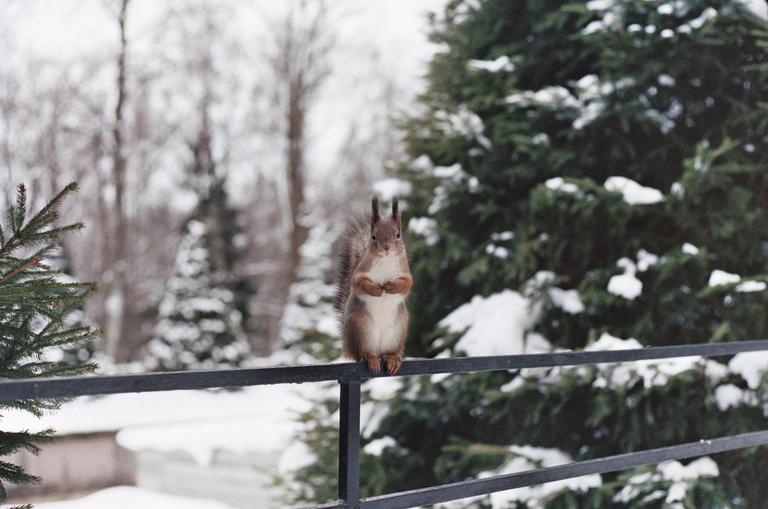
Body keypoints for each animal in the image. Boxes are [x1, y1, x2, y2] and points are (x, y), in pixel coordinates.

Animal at [335, 196, 412, 375]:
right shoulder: (359, 272)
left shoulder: (405, 272)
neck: (385, 260)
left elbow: (407, 284)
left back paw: (392, 359)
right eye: (374, 237)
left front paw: (392, 287)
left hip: (399, 328)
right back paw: (371, 358)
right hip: (361, 325)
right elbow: (358, 284)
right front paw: (376, 289)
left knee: (390, 352)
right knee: (364, 353)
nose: (386, 247)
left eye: (398, 235)